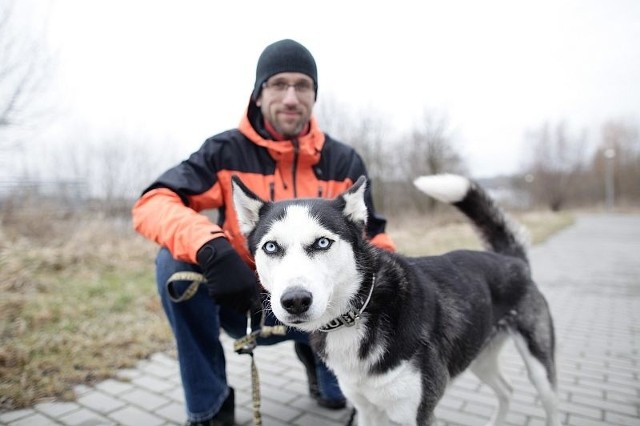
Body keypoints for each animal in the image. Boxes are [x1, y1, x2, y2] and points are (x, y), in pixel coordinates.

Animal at [231, 174, 560, 426]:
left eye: (322, 242)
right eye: (271, 247)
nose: (296, 300)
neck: (357, 313)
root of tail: (511, 259)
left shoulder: (417, 414)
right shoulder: (366, 411)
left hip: (539, 369)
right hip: (479, 356)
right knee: (507, 390)